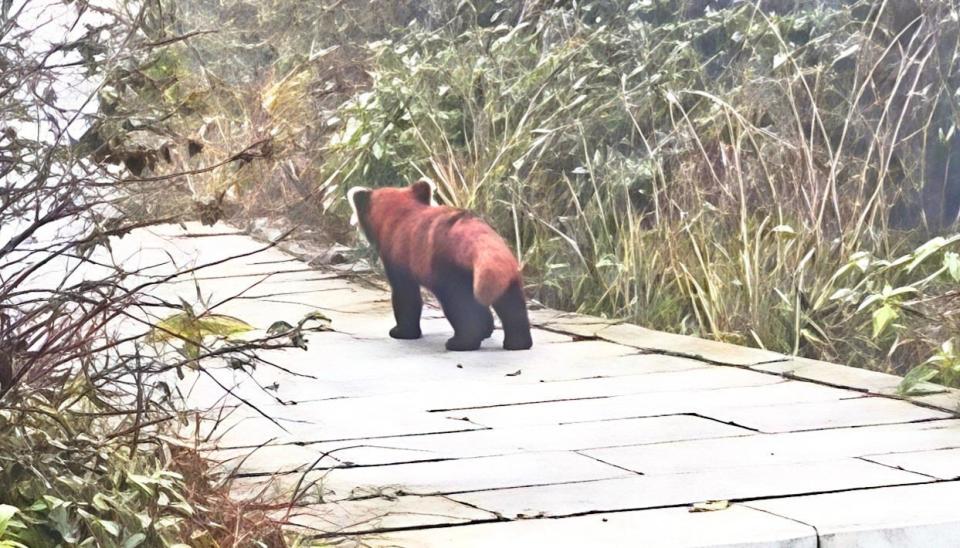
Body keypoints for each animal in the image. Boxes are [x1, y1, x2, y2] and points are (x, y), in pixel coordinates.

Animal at [347, 179, 533, 351]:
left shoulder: (399, 259)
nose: (352, 222)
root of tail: (483, 240)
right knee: (512, 306)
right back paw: (517, 343)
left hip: (451, 270)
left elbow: (406, 296)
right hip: (503, 273)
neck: (401, 214)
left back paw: (462, 342)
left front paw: (402, 332)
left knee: (461, 306)